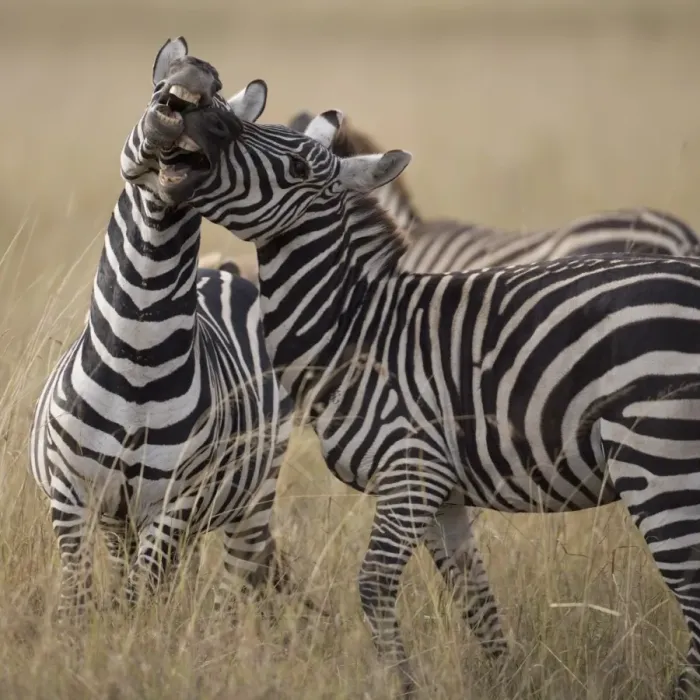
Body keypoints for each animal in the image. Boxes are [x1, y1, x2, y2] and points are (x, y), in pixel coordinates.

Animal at [28, 38, 300, 615]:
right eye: (158, 91)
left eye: (222, 113)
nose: (194, 75)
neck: (138, 357)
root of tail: (224, 271)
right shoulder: (72, 495)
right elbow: (79, 597)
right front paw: (87, 634)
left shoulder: (174, 501)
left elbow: (141, 597)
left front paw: (137, 635)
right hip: (121, 517)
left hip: (252, 497)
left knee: (235, 580)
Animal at [164, 80, 700, 698]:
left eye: (297, 166)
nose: (200, 121)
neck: (355, 328)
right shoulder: (444, 492)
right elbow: (478, 604)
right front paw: (509, 684)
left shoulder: (410, 470)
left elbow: (373, 586)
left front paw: (404, 686)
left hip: (658, 459)